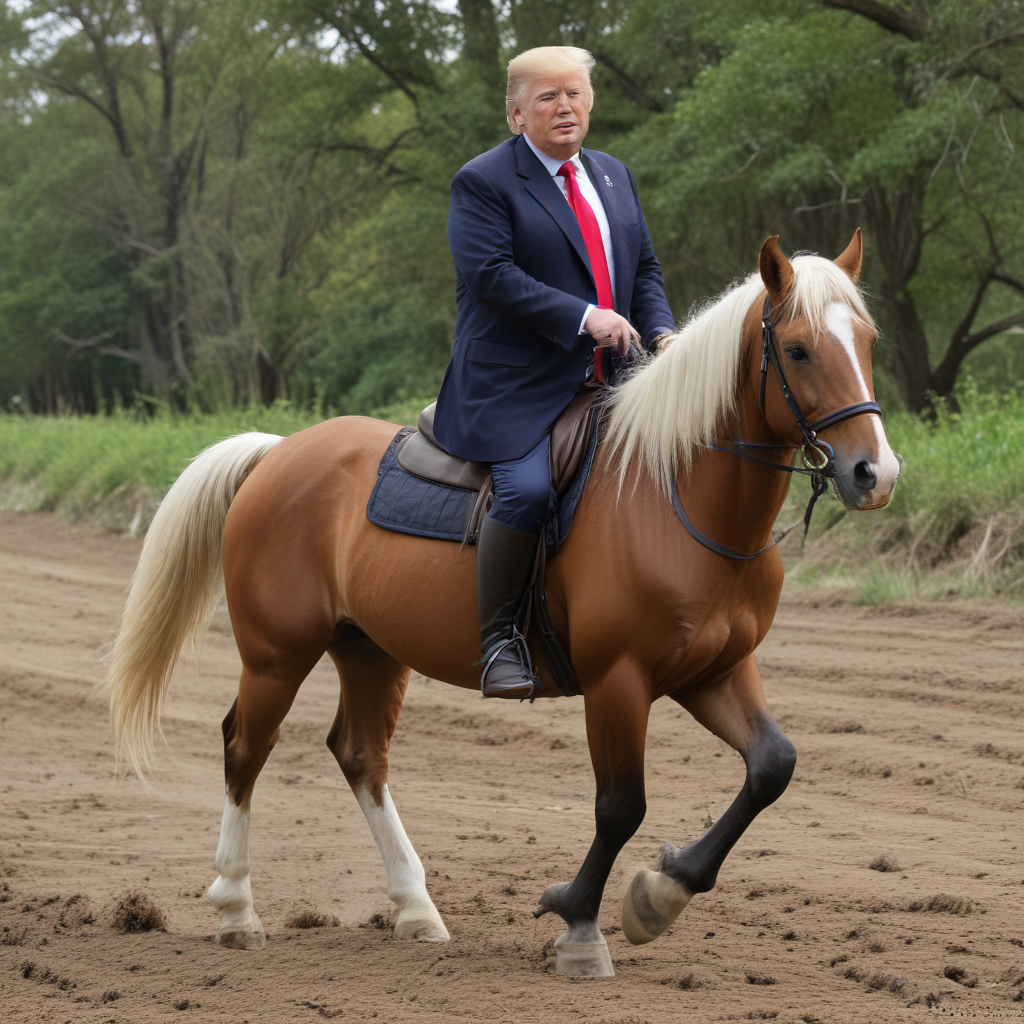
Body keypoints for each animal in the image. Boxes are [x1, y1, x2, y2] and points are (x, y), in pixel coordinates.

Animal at [105, 231, 900, 977]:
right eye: (796, 349)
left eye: (866, 342)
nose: (876, 472)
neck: (674, 495)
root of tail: (277, 453)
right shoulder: (619, 680)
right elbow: (621, 805)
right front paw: (580, 923)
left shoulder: (714, 672)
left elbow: (772, 766)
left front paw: (661, 892)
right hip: (276, 655)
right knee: (246, 747)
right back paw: (236, 909)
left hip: (369, 650)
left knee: (360, 754)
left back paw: (415, 908)